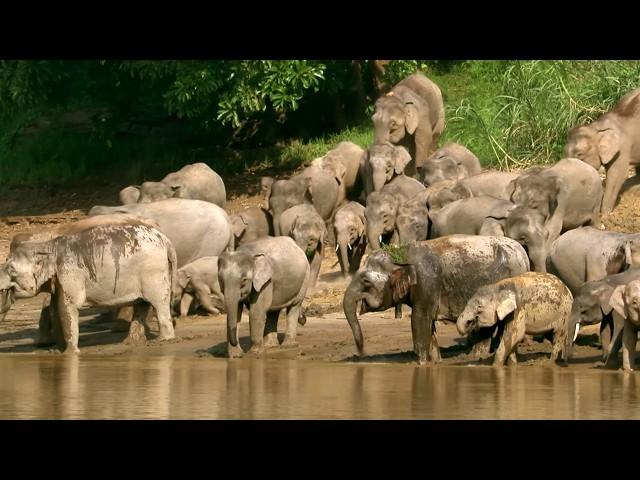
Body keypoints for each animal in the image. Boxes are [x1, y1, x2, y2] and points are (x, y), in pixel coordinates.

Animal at [0, 224, 178, 352]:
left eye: (11, 268)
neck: (48, 245)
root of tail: (166, 240)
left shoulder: (69, 273)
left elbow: (68, 307)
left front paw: (71, 353)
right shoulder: (60, 279)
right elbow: (56, 308)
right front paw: (58, 352)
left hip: (154, 273)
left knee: (159, 303)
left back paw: (164, 340)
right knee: (142, 304)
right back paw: (131, 342)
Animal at [344, 234, 528, 362]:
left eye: (365, 281)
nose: (361, 353)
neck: (402, 252)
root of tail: (523, 254)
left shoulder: (427, 282)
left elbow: (419, 320)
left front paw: (420, 363)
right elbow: (428, 324)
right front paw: (435, 361)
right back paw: (476, 356)